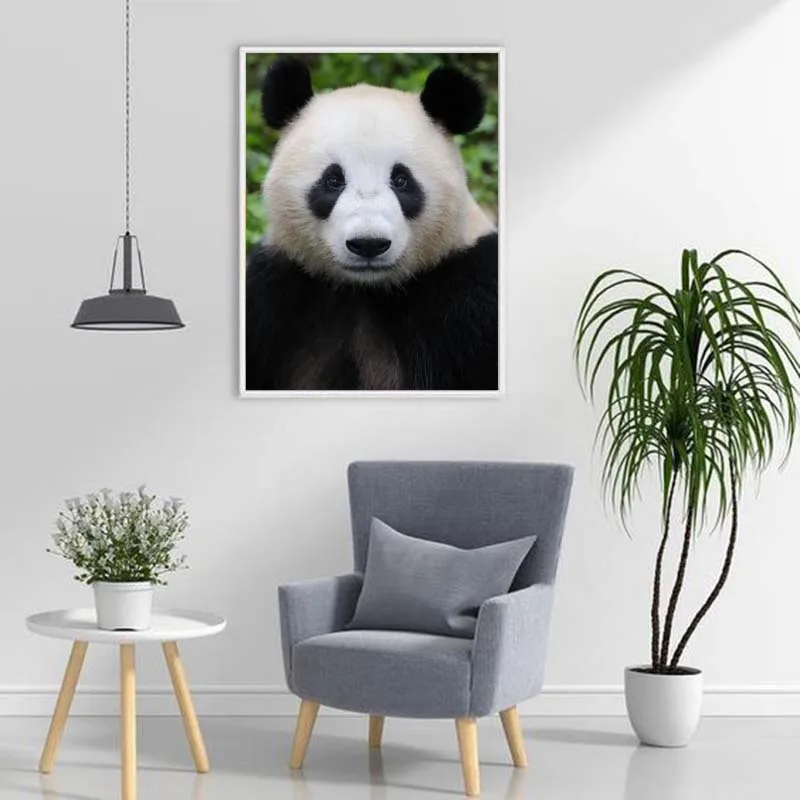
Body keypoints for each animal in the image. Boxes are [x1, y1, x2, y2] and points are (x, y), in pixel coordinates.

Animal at [245, 57, 498, 391]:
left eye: (401, 180)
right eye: (333, 180)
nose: (368, 244)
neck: (366, 290)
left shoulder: (470, 298)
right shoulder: (275, 294)